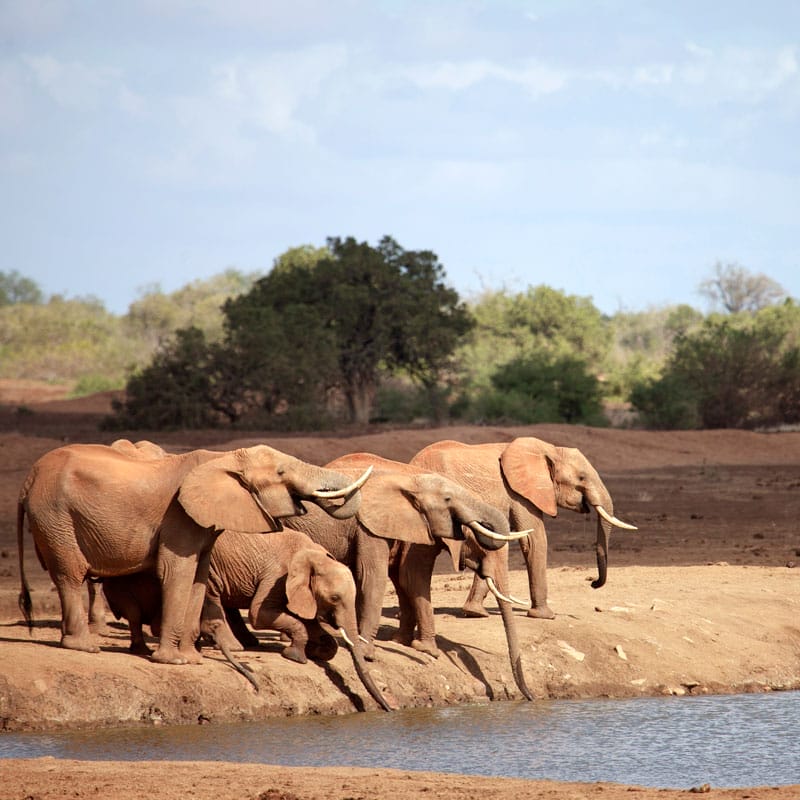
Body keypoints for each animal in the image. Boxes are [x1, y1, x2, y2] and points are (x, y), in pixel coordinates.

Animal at [17, 441, 371, 666]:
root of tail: (28, 480)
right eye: (281, 472)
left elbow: (199, 577)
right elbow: (179, 572)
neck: (222, 458)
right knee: (70, 574)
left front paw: (193, 659)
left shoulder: (203, 521)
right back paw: (85, 647)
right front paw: (173, 661)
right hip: (55, 516)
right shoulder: (179, 515)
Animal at [281, 451, 535, 700]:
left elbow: (403, 579)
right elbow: (389, 577)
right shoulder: (373, 527)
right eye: (448, 499)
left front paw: (402, 643)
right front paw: (381, 652)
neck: (413, 482)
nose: (529, 696)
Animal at [409, 437, 637, 620]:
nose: (593, 583)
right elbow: (534, 539)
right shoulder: (520, 494)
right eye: (581, 478)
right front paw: (546, 616)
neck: (551, 450)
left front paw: (474, 613)